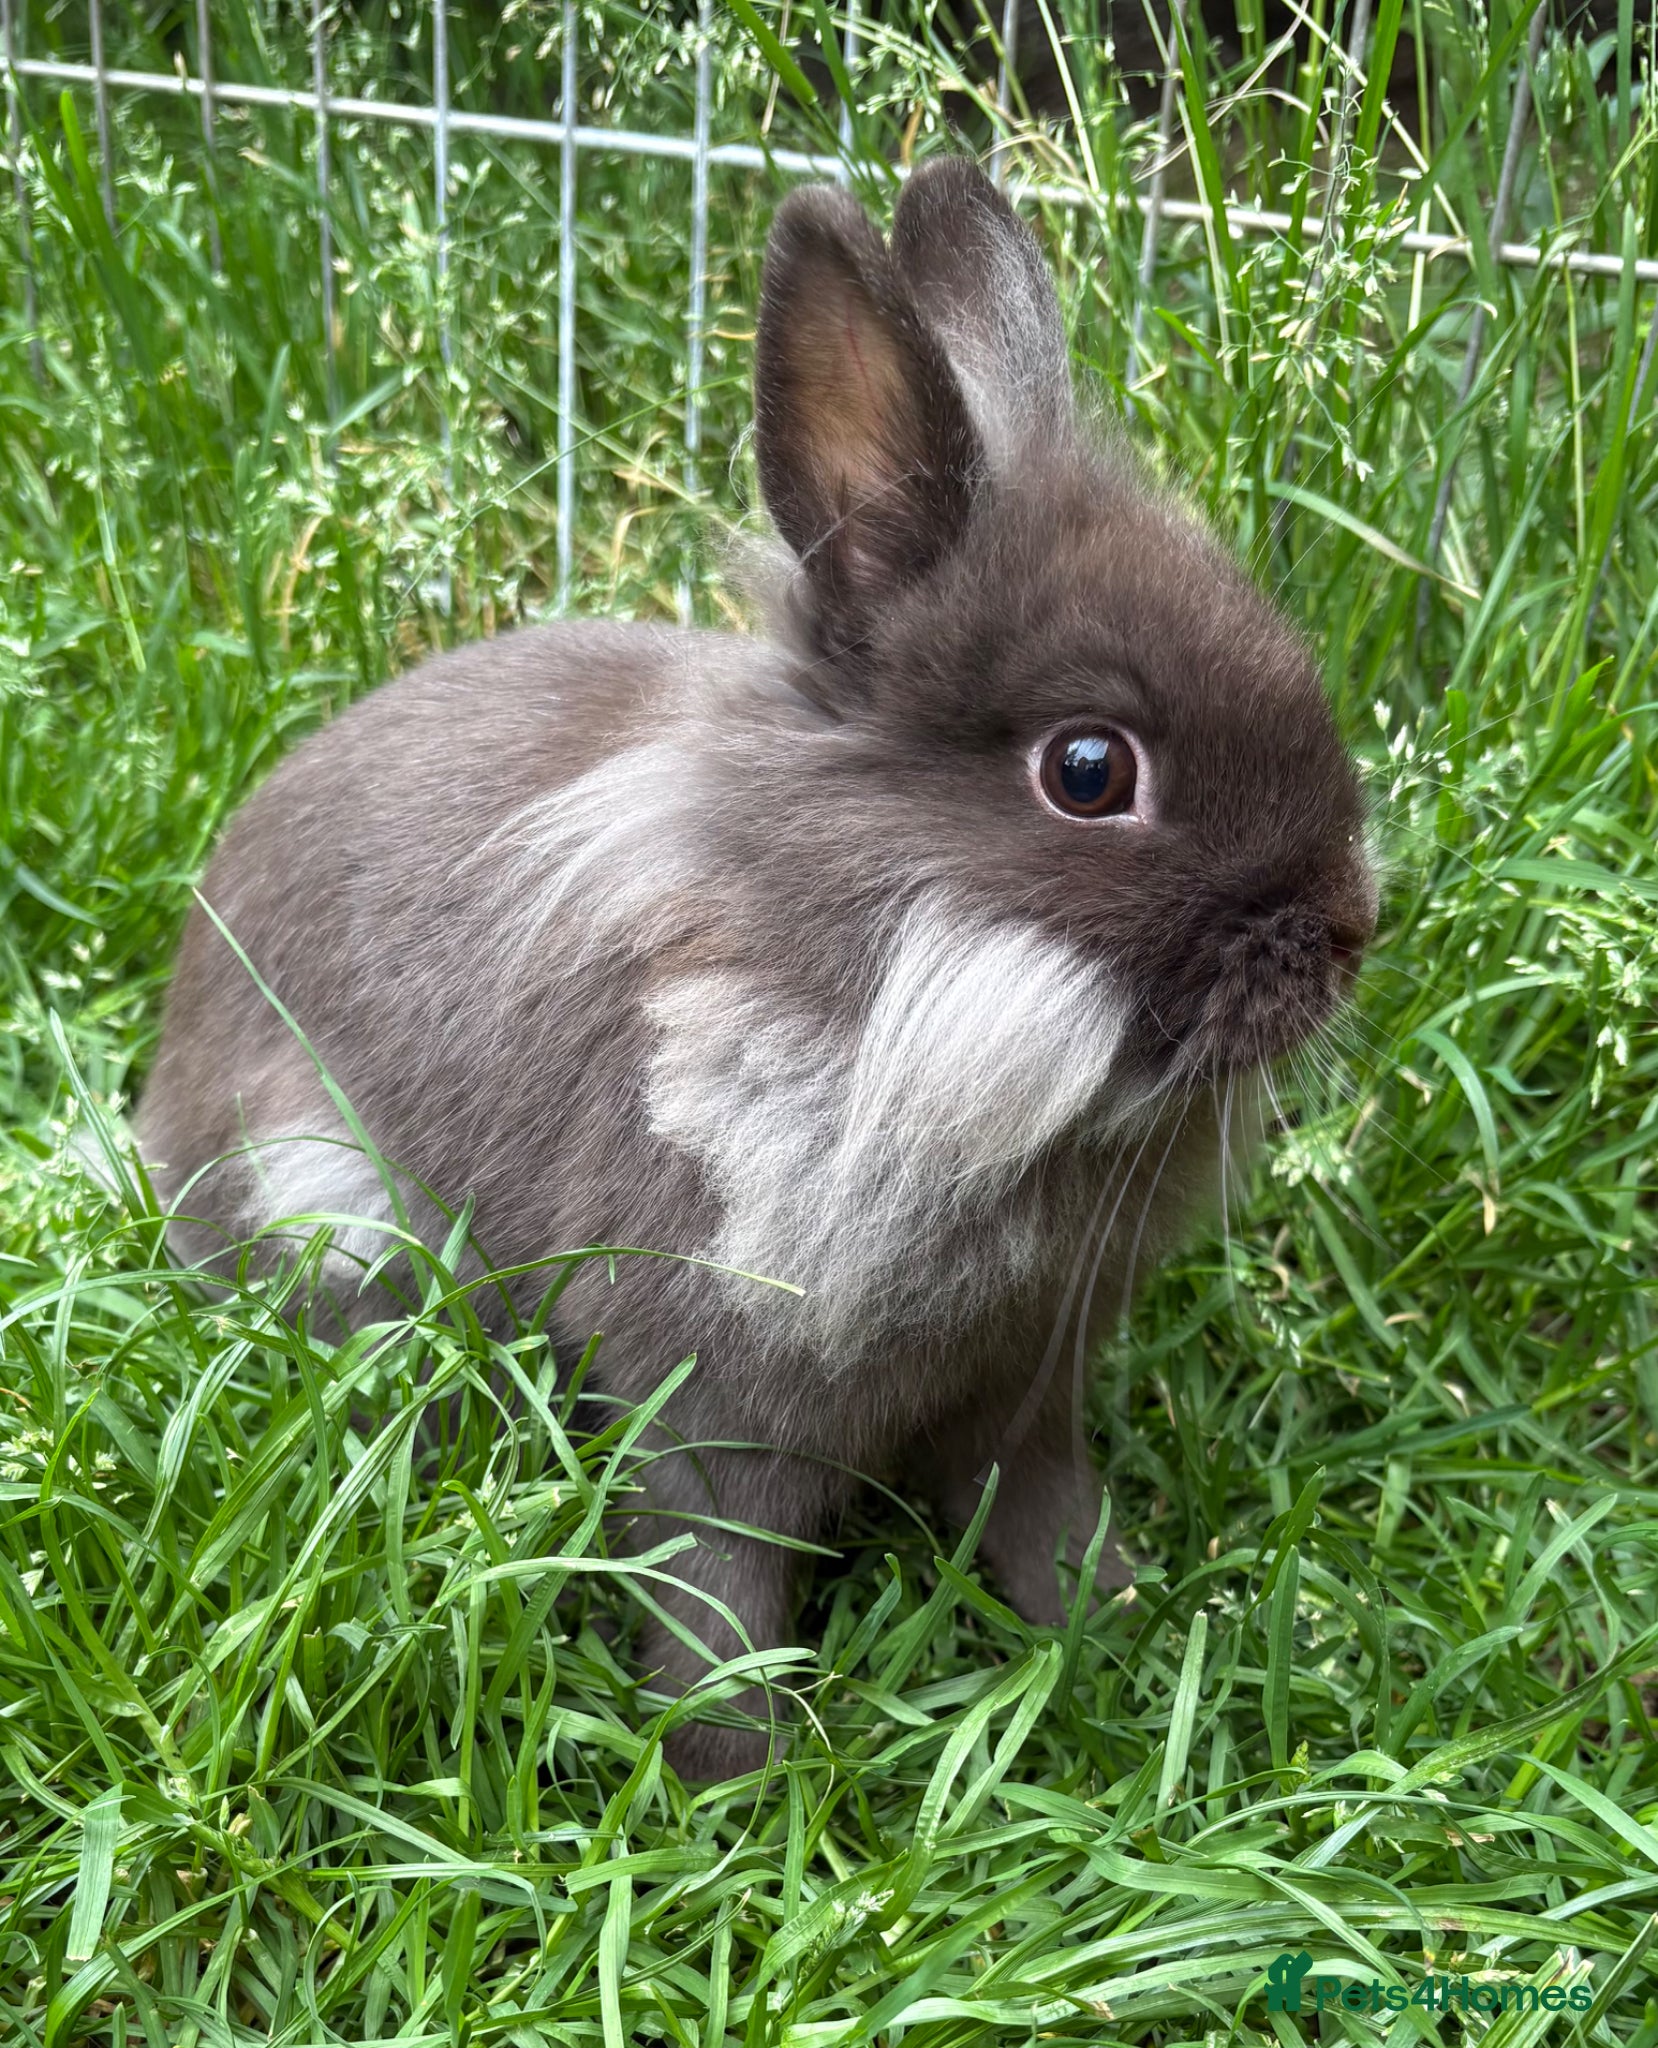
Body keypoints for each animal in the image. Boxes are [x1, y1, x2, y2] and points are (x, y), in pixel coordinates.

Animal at [138, 157, 1377, 1780]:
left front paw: (1113, 1629)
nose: (1347, 930)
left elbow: (1037, 1507)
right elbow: (714, 1583)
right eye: (1087, 770)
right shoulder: (710, 1387)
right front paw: (736, 1771)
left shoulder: (1030, 1379)